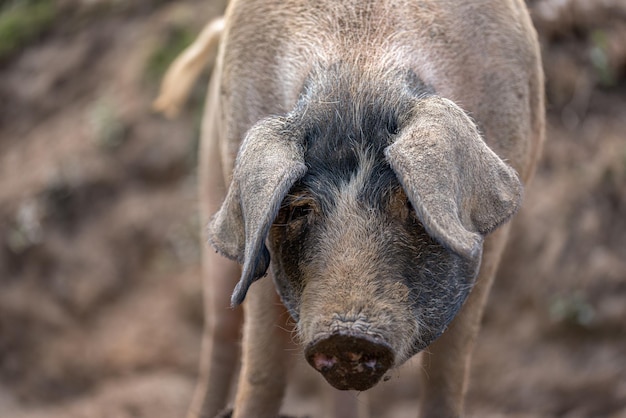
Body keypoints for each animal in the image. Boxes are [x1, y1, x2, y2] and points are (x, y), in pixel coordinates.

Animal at [154, 0, 544, 414]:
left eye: (409, 201)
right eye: (300, 209)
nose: (346, 337)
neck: (359, 72)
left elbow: (448, 374)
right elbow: (262, 375)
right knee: (221, 333)